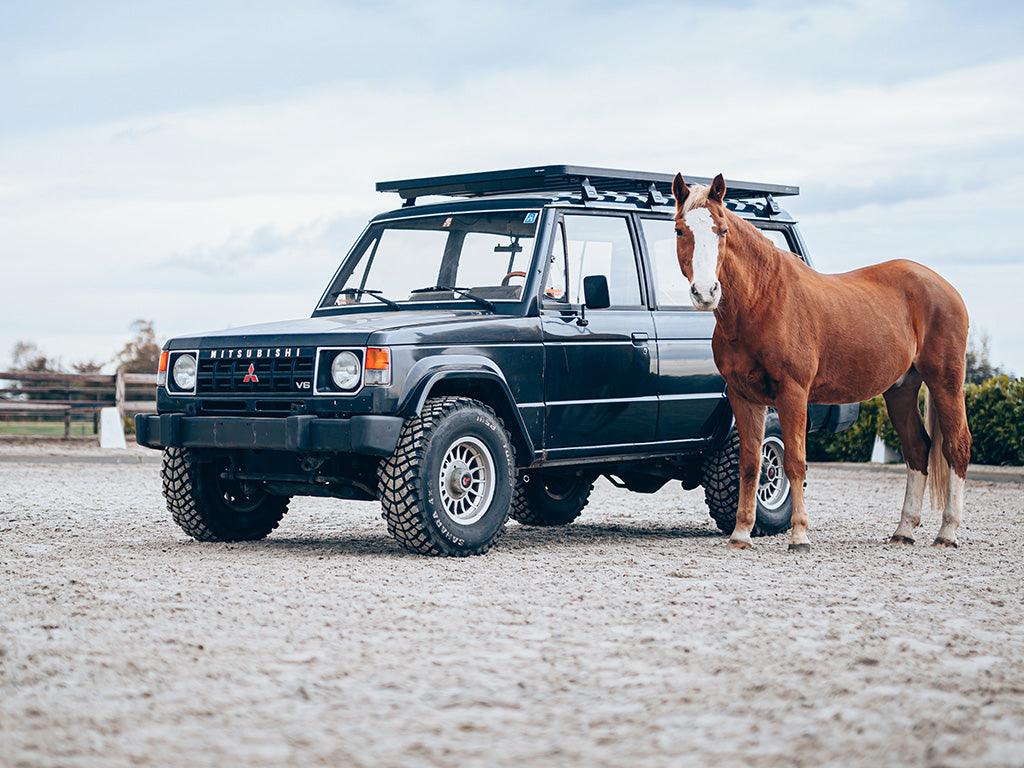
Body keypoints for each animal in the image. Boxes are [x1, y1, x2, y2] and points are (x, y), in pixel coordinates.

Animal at [675, 173, 970, 552]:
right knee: (918, 449)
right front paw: (741, 534)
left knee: (956, 447)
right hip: (901, 389)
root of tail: (944, 287)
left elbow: (794, 462)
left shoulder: (793, 393)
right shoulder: (743, 396)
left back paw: (948, 531)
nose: (705, 292)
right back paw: (904, 530)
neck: (763, 302)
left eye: (722, 230)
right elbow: (750, 464)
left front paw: (799, 535)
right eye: (681, 230)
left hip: (946, 381)